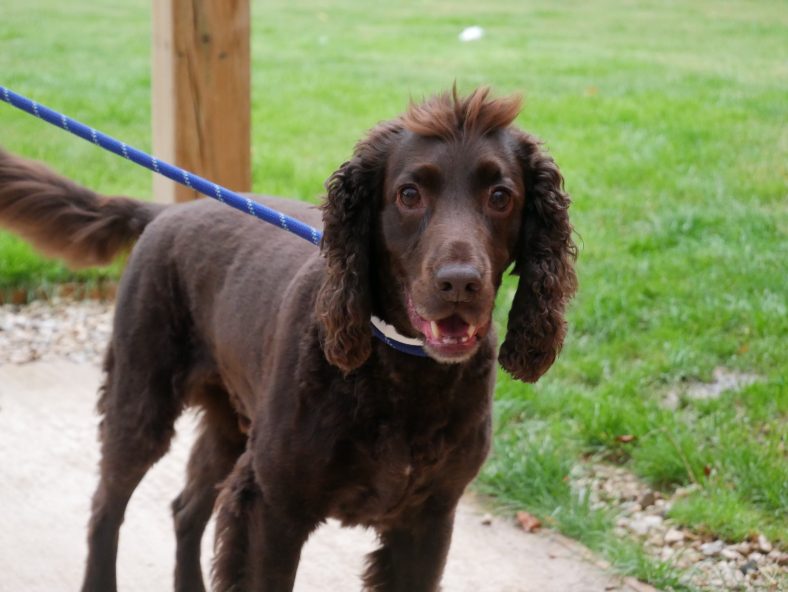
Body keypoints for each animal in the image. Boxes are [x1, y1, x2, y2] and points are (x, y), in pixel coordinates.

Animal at [0, 89, 580, 592]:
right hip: (140, 401)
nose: (459, 283)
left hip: (231, 425)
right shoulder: (272, 508)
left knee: (185, 509)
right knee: (106, 506)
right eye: (409, 194)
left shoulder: (428, 519)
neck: (400, 374)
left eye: (501, 196)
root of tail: (167, 212)